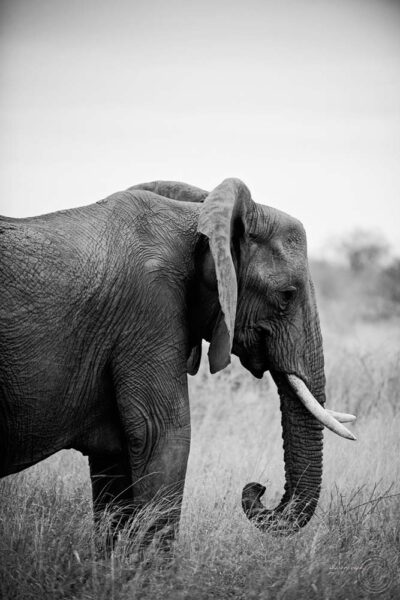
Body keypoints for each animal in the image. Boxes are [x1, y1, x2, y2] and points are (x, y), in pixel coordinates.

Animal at [0, 178, 356, 544]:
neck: (197, 221)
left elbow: (116, 457)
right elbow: (163, 435)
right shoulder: (148, 309)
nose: (257, 488)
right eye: (286, 295)